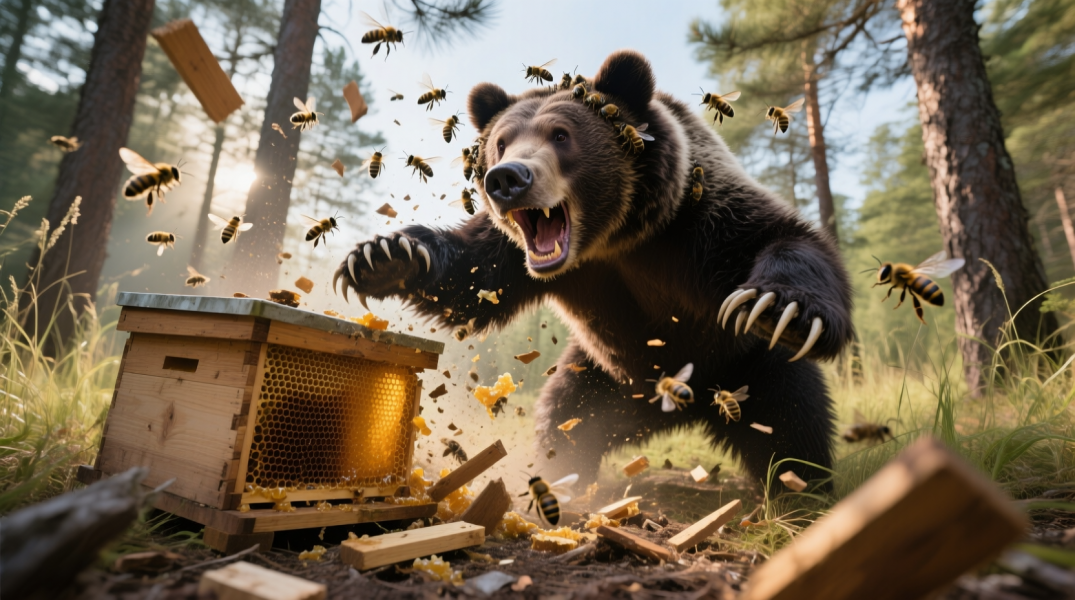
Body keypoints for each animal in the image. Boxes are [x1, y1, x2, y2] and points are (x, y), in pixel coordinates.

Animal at [334, 50, 854, 486]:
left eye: (561, 135)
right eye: (501, 142)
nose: (507, 179)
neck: (608, 240)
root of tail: (680, 407)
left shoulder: (694, 220)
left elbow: (778, 236)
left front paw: (779, 306)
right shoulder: (520, 257)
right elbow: (471, 280)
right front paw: (382, 256)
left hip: (748, 367)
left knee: (792, 425)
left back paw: (801, 490)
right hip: (603, 377)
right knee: (563, 416)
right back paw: (565, 472)